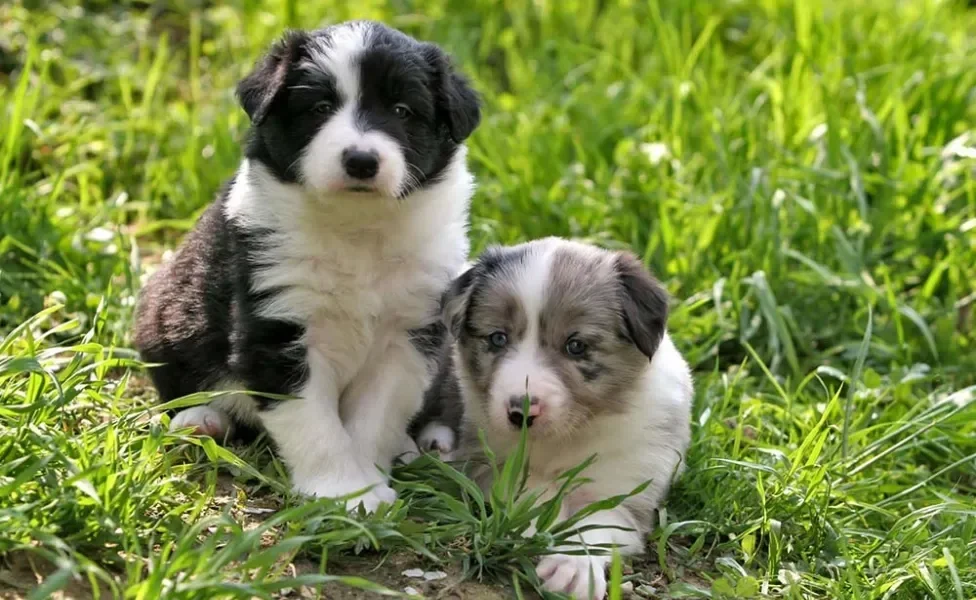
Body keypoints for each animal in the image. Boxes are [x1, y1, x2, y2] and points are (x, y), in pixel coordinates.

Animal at [132, 21, 482, 512]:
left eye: (401, 110)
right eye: (319, 108)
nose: (361, 160)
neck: (357, 230)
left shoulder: (408, 334)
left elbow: (375, 417)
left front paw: (367, 483)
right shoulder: (279, 327)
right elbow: (314, 423)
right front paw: (343, 491)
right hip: (163, 316)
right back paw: (201, 419)